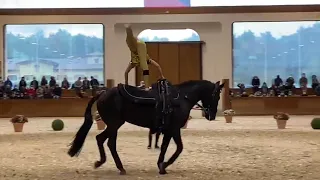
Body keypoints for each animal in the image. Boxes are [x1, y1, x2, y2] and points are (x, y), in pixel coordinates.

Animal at [67, 80, 224, 174]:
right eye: (216, 95)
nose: (212, 115)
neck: (181, 98)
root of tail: (102, 93)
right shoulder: (174, 129)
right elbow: (179, 148)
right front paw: (164, 165)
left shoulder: (168, 130)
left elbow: (165, 147)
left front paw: (161, 165)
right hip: (114, 125)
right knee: (110, 143)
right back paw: (120, 167)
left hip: (114, 124)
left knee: (100, 139)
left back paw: (100, 162)